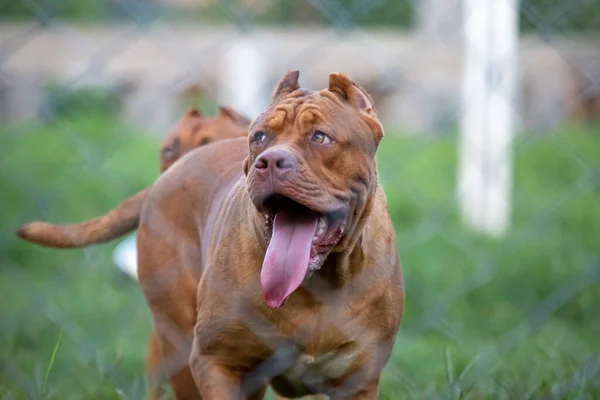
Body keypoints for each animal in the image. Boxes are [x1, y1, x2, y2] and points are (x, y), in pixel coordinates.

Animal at [138, 70, 406, 398]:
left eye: (320, 137)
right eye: (260, 137)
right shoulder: (216, 362)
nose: (271, 161)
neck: (319, 282)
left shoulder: (357, 382)